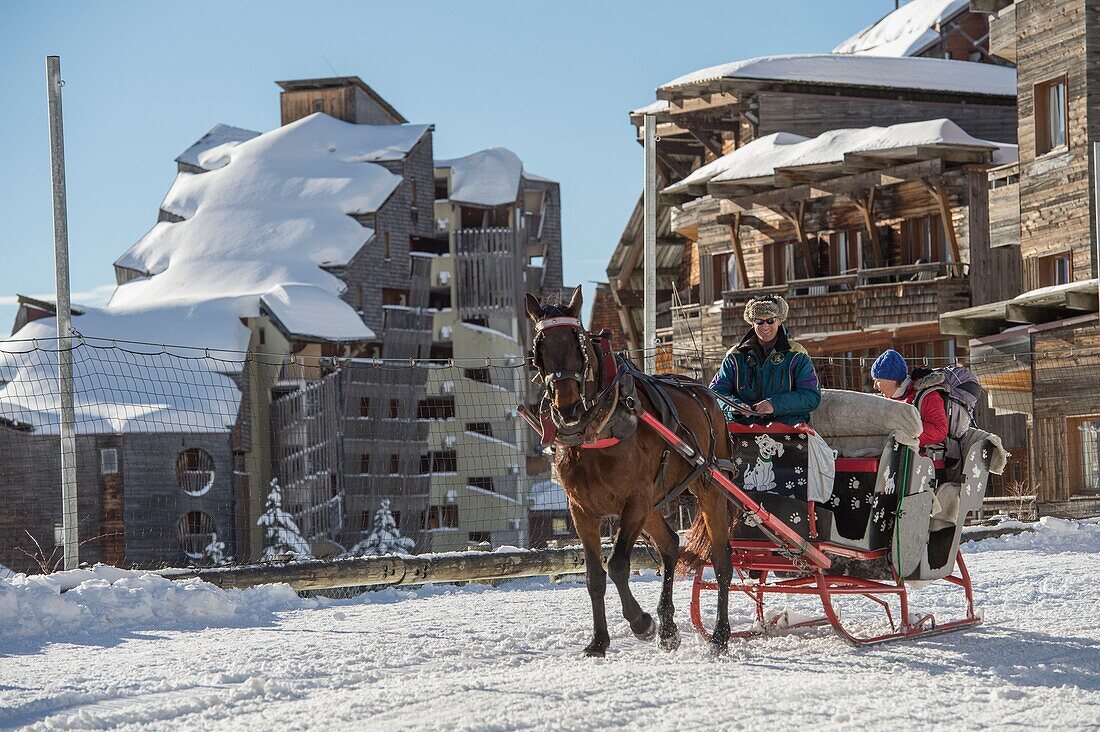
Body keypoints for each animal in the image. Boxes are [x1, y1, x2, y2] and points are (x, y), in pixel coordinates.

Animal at [525, 286, 739, 656]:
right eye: (539, 351)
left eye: (579, 344)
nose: (567, 409)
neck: (599, 428)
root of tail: (706, 395)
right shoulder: (581, 510)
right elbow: (594, 577)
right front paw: (599, 641)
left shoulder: (634, 501)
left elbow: (618, 565)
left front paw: (641, 622)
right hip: (653, 504)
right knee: (670, 544)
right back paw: (668, 628)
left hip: (709, 488)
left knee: (721, 559)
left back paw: (720, 636)